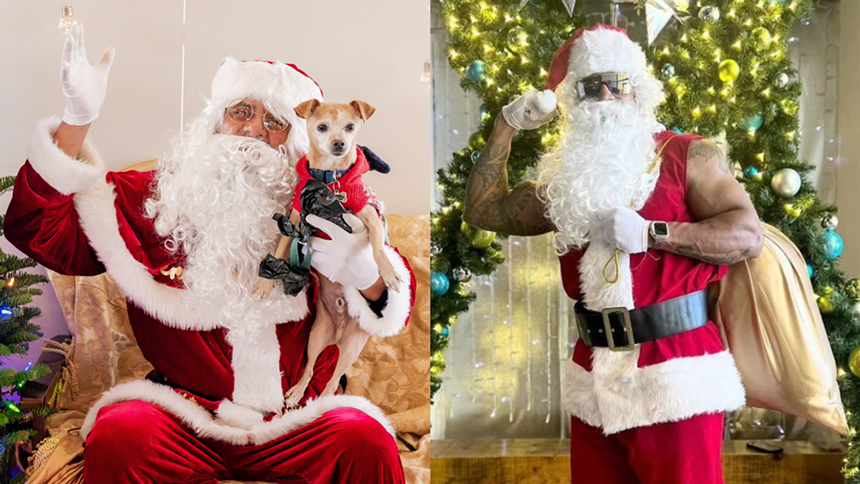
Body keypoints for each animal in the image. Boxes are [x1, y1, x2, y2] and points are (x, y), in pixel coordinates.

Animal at [254, 99, 402, 408]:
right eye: (322, 127)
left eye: (351, 127)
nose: (340, 144)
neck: (329, 182)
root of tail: (337, 335)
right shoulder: (294, 216)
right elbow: (282, 246)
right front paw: (264, 282)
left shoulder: (368, 216)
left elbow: (378, 247)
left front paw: (389, 272)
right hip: (316, 336)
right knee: (310, 368)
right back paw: (297, 391)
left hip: (352, 348)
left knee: (333, 381)